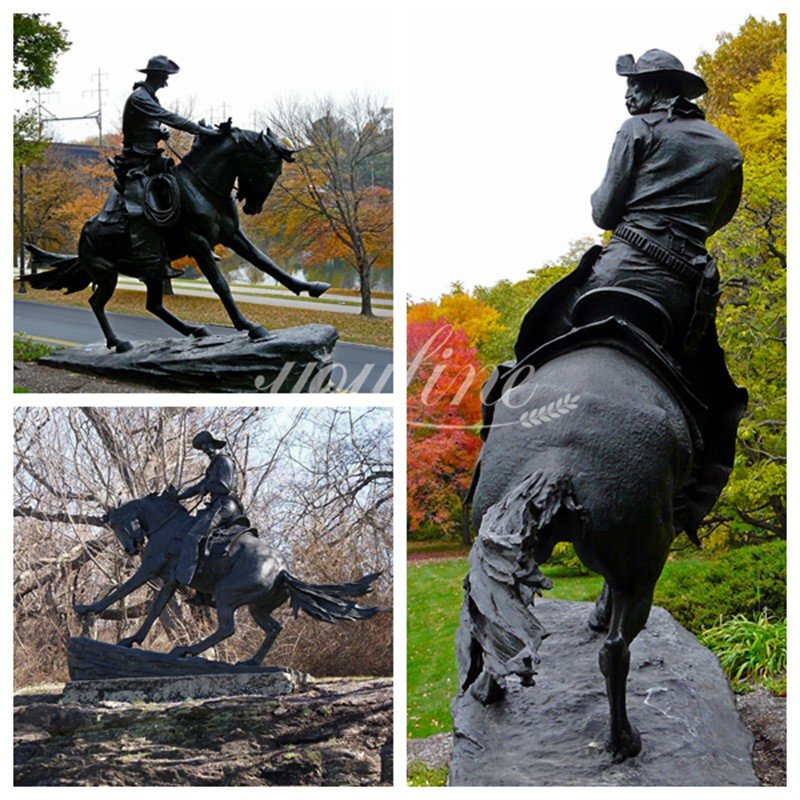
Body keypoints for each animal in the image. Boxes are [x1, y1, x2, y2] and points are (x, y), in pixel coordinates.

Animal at [25, 122, 330, 354]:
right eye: (267, 170)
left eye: (277, 172)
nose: (253, 208)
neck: (201, 188)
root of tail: (82, 239)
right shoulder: (198, 242)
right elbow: (221, 285)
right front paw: (250, 327)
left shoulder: (232, 235)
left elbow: (266, 262)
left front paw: (309, 287)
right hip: (108, 274)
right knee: (96, 303)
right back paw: (119, 343)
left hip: (153, 270)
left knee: (154, 305)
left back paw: (195, 330)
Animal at [72, 488, 382, 664]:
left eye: (116, 525)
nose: (130, 548)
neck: (167, 526)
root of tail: (282, 570)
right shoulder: (170, 580)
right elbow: (155, 609)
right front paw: (132, 639)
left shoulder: (149, 569)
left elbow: (122, 590)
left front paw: (87, 609)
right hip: (257, 607)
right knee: (273, 628)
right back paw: (250, 663)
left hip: (226, 595)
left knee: (227, 628)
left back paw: (186, 651)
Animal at [460, 332, 696, 764]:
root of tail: (558, 458)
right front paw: (600, 617)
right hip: (641, 570)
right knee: (615, 650)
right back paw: (623, 741)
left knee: (489, 625)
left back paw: (488, 691)